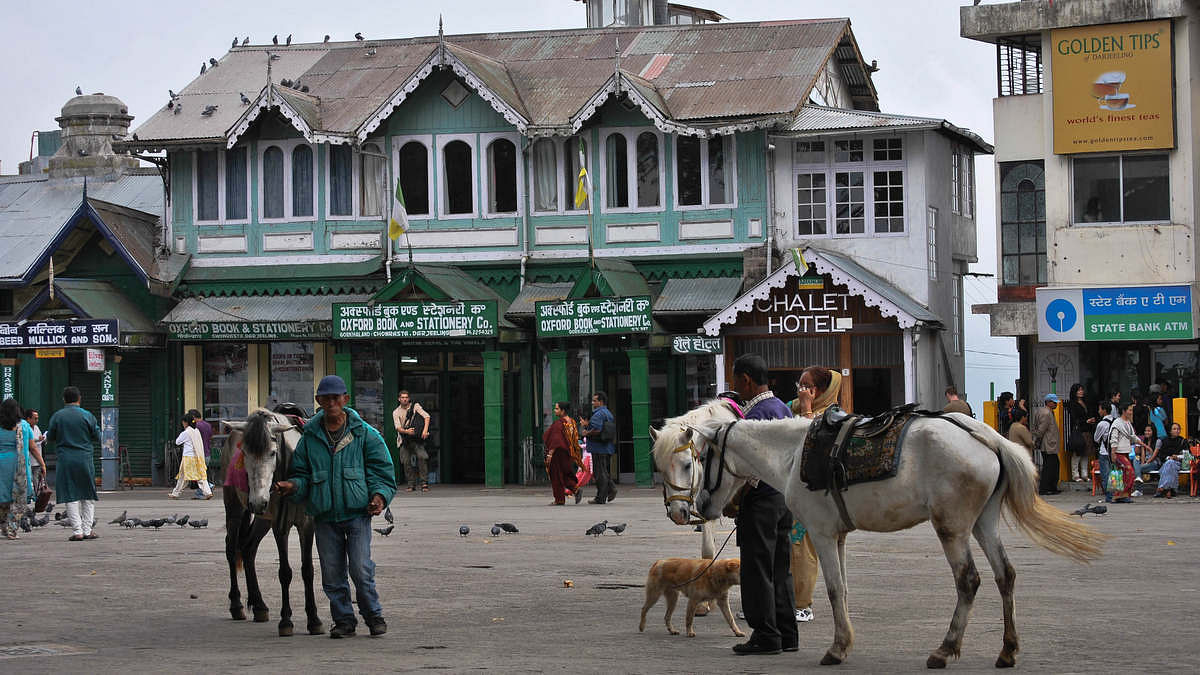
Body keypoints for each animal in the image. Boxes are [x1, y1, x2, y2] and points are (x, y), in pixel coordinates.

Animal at [657, 398, 1104, 667]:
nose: (697, 509)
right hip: (984, 523)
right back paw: (1008, 650)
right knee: (1004, 576)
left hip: (953, 528)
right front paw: (845, 640)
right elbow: (843, 589)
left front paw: (837, 648)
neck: (791, 455)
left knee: (969, 581)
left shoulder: (822, 533)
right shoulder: (837, 536)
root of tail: (986, 436)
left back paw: (945, 649)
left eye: (697, 460)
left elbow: (833, 588)